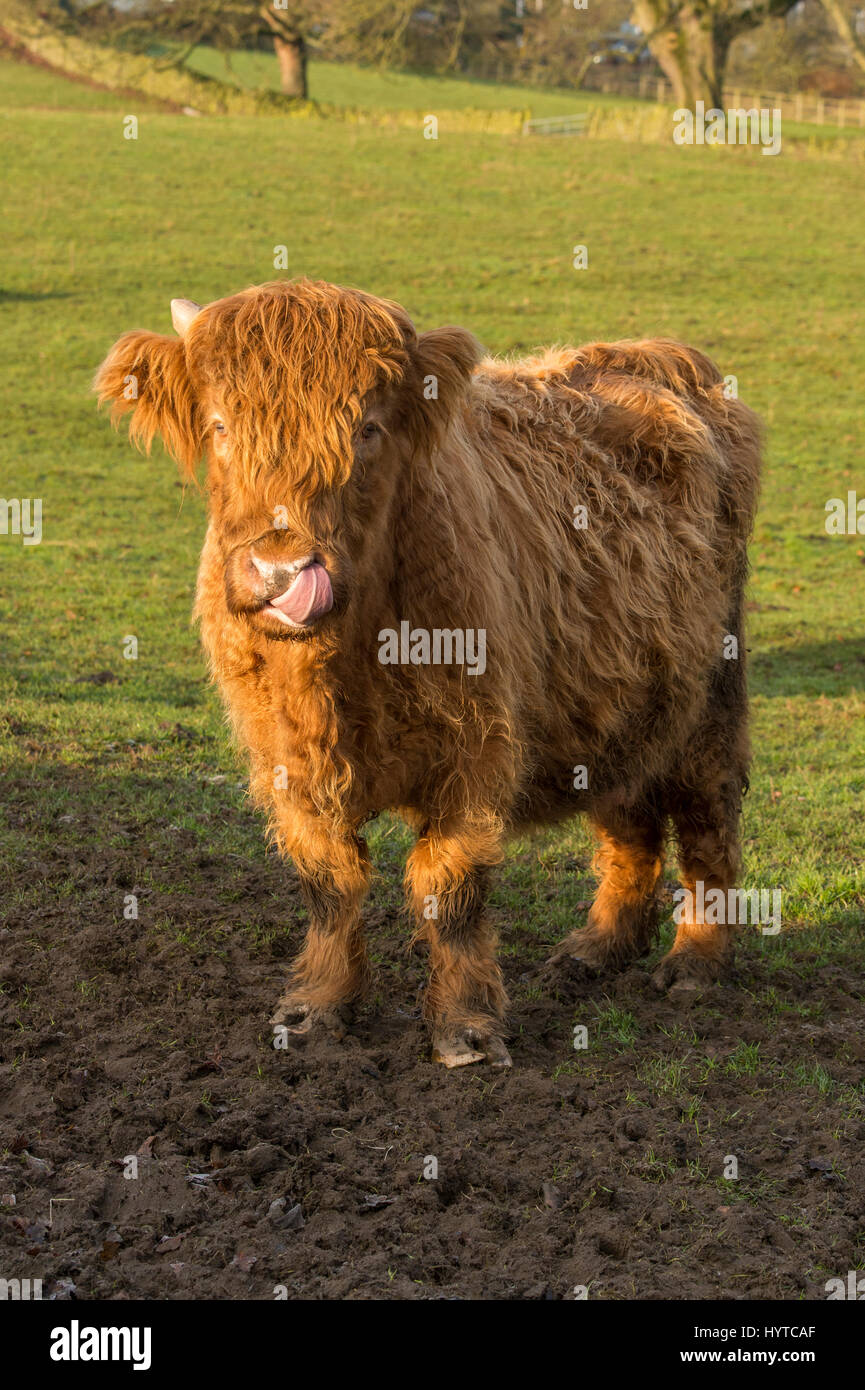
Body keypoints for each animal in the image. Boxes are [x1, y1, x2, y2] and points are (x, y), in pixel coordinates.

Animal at [93, 276, 756, 1067]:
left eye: (367, 429)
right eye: (220, 425)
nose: (283, 572)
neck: (340, 668)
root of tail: (658, 357)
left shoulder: (473, 748)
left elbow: (452, 886)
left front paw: (465, 1028)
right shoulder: (288, 761)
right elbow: (329, 881)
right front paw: (318, 1007)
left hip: (711, 694)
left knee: (707, 817)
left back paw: (694, 964)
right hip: (616, 695)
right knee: (627, 819)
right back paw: (594, 949)